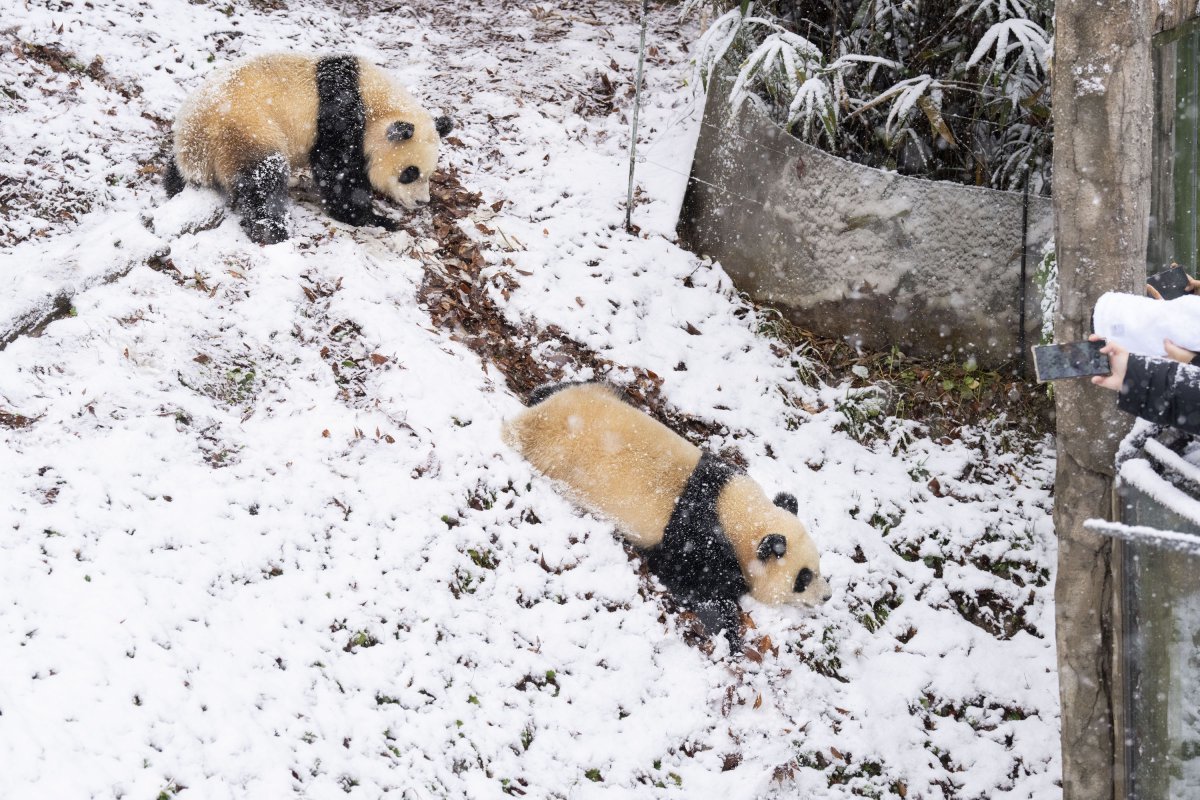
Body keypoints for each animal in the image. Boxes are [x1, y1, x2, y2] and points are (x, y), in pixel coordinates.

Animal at [162, 53, 451, 244]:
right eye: (410, 173)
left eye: (429, 173)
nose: (421, 202)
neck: (376, 104)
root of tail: (195, 142)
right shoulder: (339, 117)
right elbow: (338, 174)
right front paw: (376, 218)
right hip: (245, 128)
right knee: (263, 177)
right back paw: (273, 229)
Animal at [501, 383, 830, 642]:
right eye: (803, 578)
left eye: (817, 567)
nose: (826, 596)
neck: (737, 512)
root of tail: (529, 421)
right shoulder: (695, 538)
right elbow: (691, 581)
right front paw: (729, 625)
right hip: (554, 458)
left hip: (588, 393)